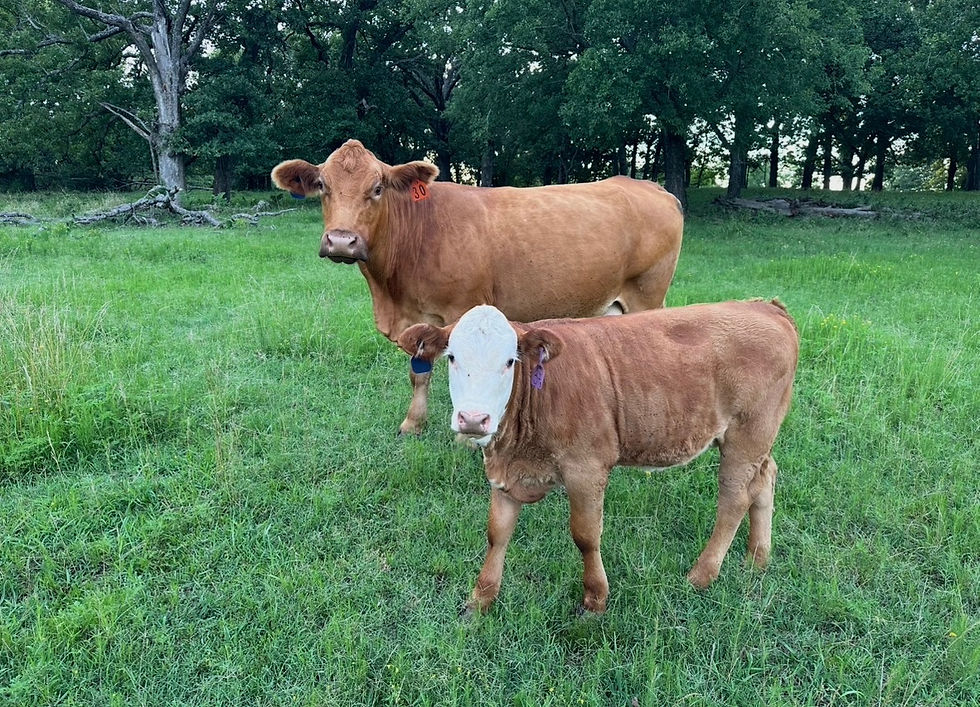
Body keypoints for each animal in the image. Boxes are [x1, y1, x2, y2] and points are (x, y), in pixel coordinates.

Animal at [271, 140, 683, 435]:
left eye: (377, 188)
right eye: (322, 186)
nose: (342, 241)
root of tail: (651, 187)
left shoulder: (462, 309)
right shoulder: (416, 320)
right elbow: (419, 372)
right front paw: (413, 424)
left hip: (647, 295)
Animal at [396, 301, 799, 615]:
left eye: (510, 362)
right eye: (451, 357)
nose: (473, 419)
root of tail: (763, 306)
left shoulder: (586, 469)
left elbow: (586, 536)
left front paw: (595, 599)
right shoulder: (506, 472)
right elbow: (497, 533)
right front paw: (480, 600)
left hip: (747, 434)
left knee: (734, 500)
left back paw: (701, 576)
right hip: (757, 441)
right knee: (765, 478)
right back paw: (757, 559)